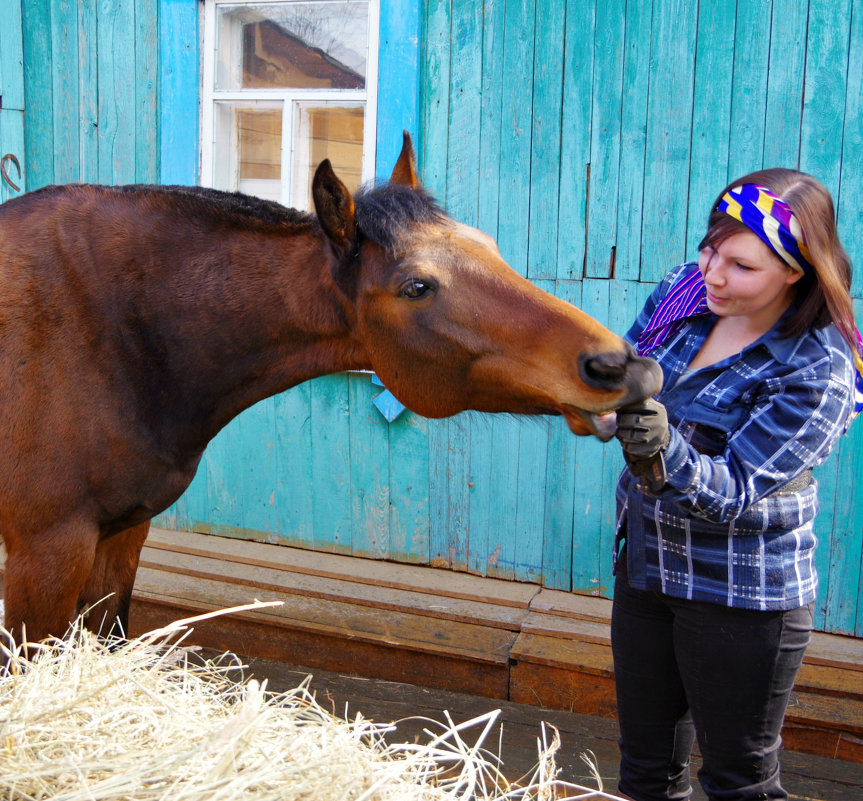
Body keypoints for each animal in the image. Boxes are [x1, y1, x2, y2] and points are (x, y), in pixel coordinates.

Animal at [0, 130, 660, 644]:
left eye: (490, 247)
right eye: (416, 286)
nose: (622, 366)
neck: (119, 333)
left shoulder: (122, 536)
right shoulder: (46, 556)